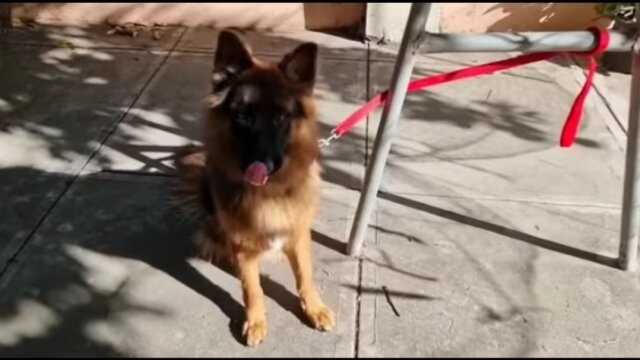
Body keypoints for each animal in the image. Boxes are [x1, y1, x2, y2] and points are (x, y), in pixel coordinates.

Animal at [172, 30, 338, 346]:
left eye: (280, 118)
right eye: (243, 117)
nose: (260, 163)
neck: (269, 194)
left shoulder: (299, 234)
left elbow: (305, 277)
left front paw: (314, 308)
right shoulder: (244, 246)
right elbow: (252, 288)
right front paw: (256, 320)